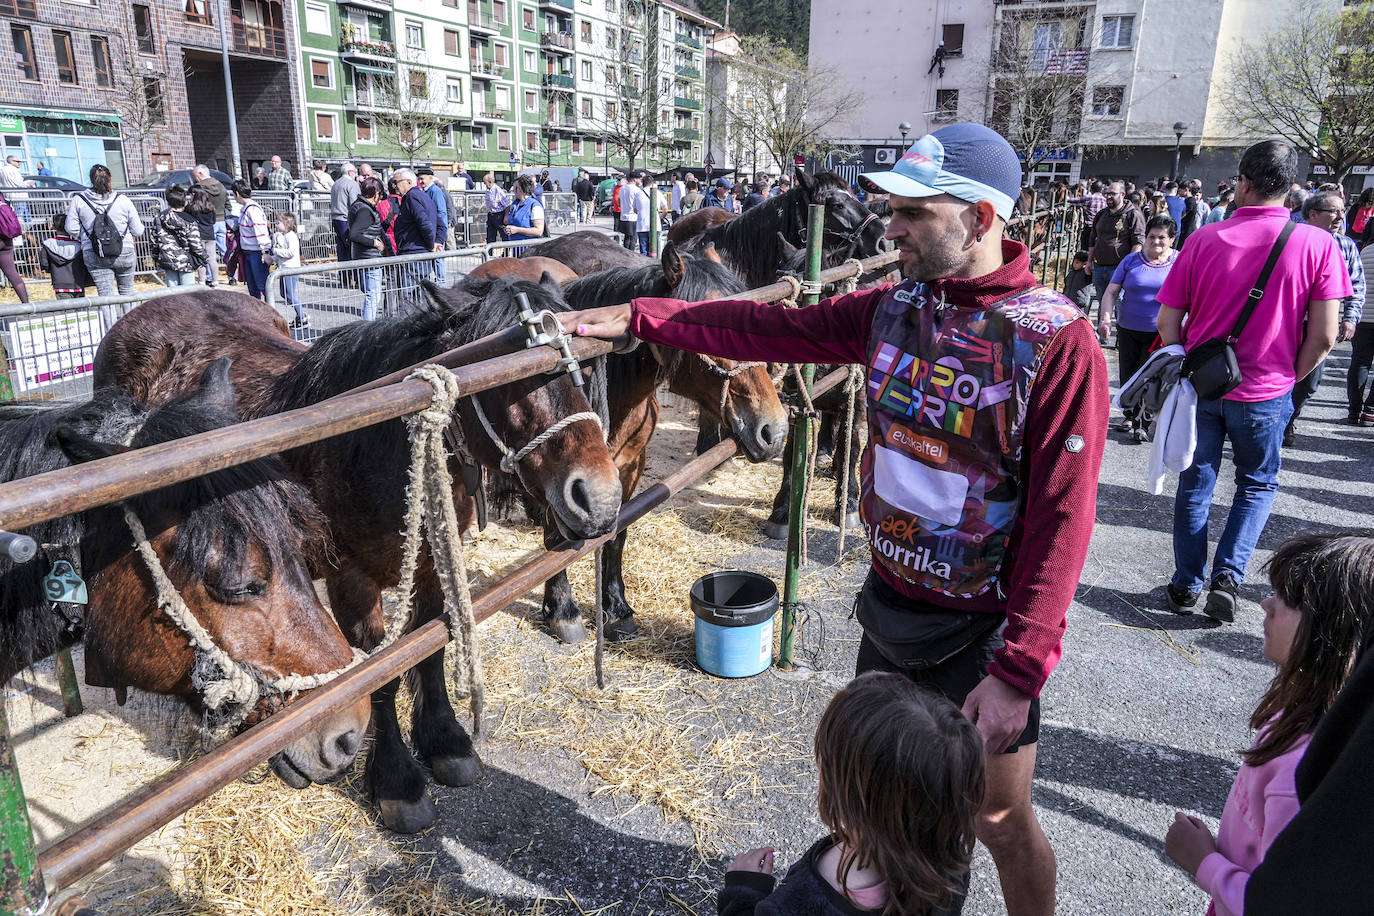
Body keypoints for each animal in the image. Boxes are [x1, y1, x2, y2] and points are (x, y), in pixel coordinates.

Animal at [89, 282, 618, 834]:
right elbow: (378, 673)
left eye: (581, 368)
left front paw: (445, 741)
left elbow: (428, 650)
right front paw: (397, 781)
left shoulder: (429, 568)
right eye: (508, 378)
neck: (368, 447)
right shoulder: (352, 583)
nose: (599, 497)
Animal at [522, 243, 785, 645]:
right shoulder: (557, 477)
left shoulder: (629, 466)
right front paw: (563, 610)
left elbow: (617, 535)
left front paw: (616, 609)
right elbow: (554, 541)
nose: (774, 431)